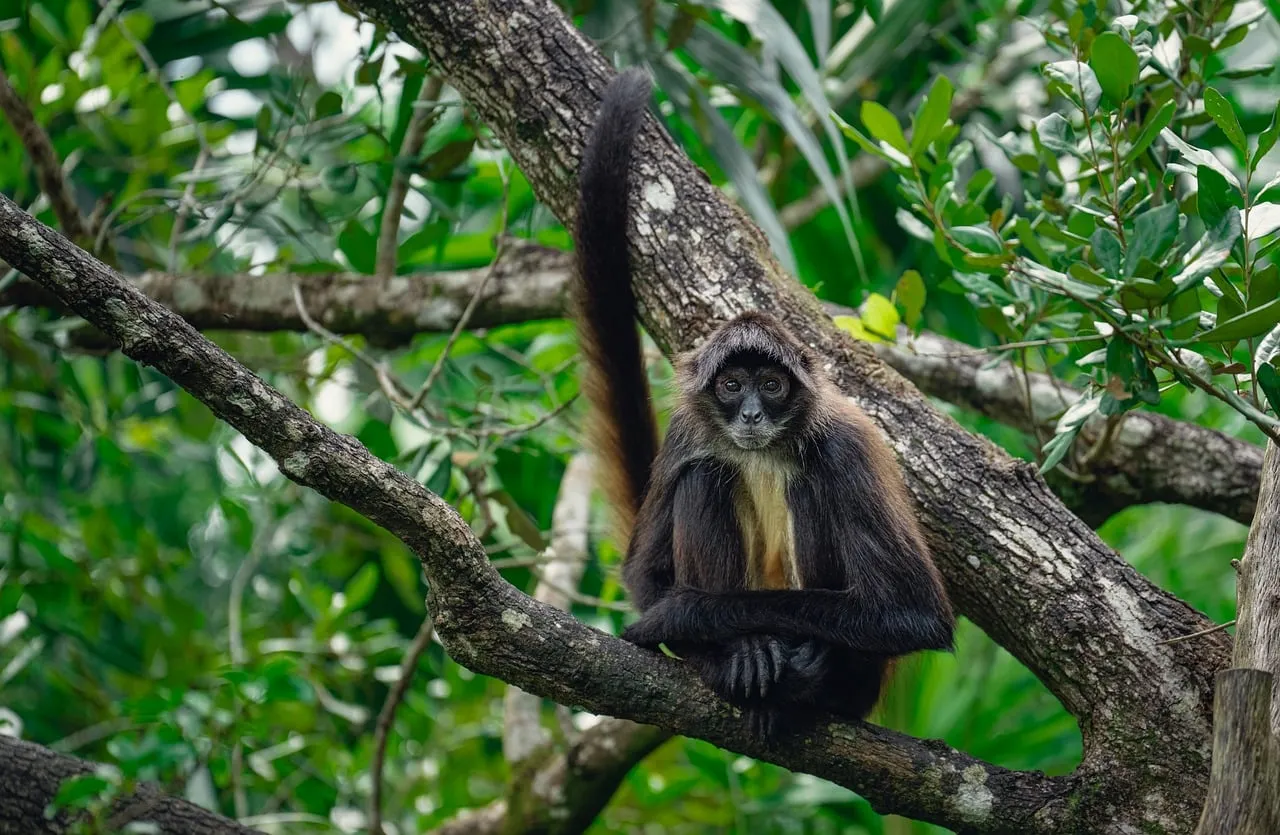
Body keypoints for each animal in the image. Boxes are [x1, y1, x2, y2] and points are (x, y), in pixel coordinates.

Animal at [572, 67, 955, 740]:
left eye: (771, 386)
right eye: (732, 386)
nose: (751, 413)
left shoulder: (846, 443)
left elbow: (916, 614)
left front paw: (685, 615)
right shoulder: (686, 429)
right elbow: (645, 578)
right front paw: (707, 635)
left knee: (807, 487)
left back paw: (813, 673)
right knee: (706, 476)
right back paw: (738, 655)